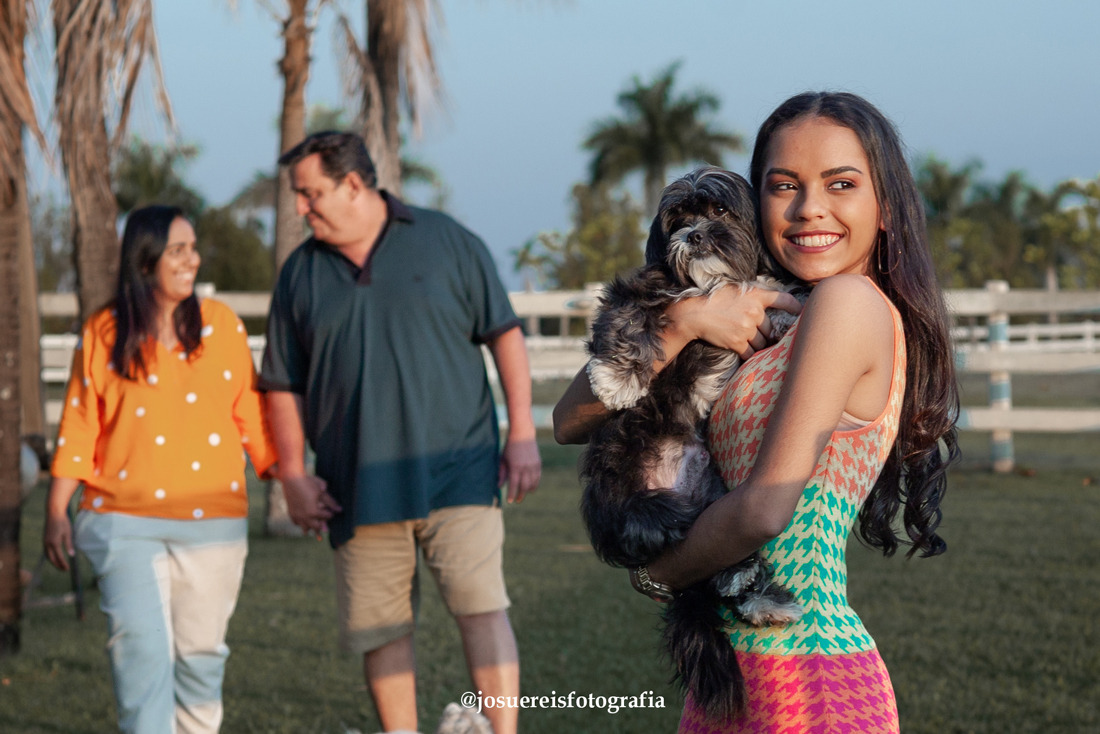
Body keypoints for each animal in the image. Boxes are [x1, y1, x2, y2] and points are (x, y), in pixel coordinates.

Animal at [580, 165, 805, 717]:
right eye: (678, 218)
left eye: (720, 210)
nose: (696, 235)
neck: (718, 282)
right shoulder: (641, 290)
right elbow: (626, 320)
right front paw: (617, 378)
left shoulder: (768, 291)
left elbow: (780, 301)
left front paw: (790, 316)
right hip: (643, 509)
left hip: (721, 496)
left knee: (726, 560)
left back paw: (757, 593)